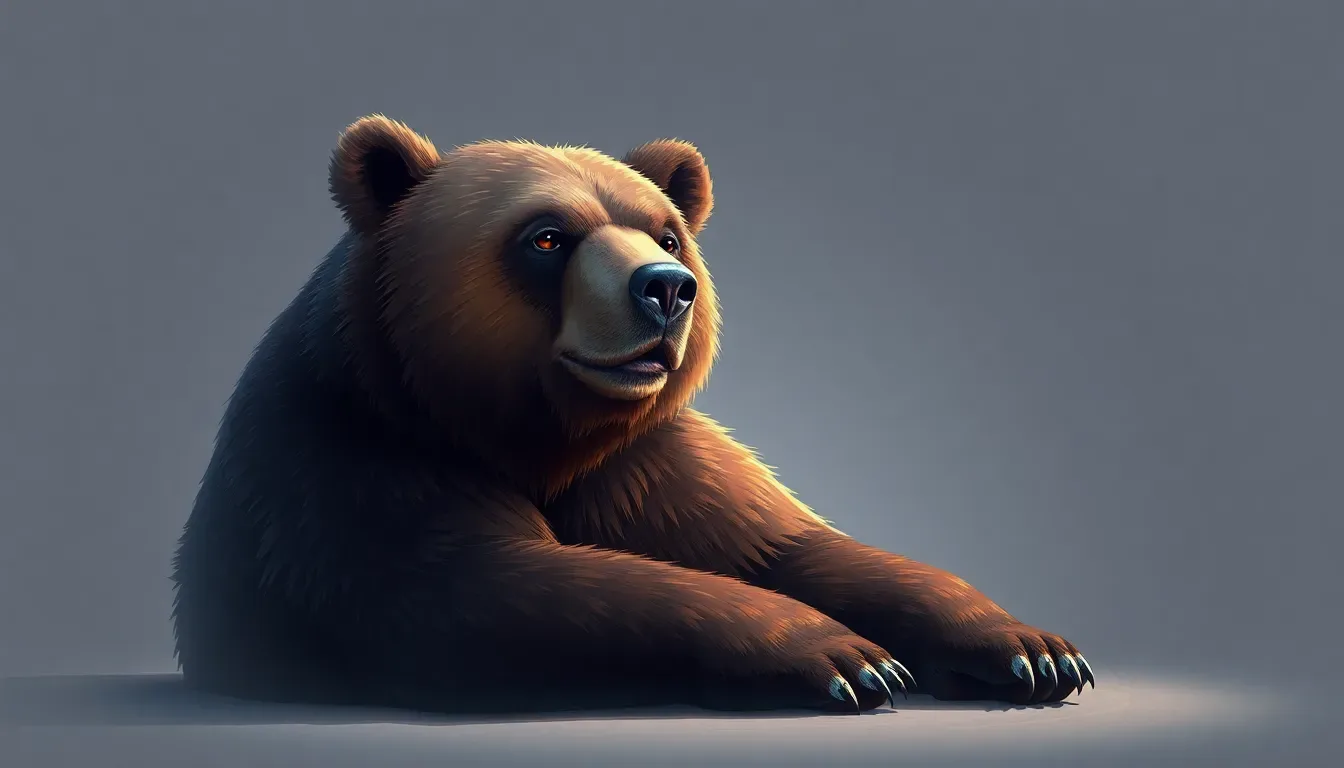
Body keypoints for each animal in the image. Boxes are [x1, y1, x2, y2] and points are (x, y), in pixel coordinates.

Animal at [169, 115, 1095, 715]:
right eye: (546, 236)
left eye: (669, 232)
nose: (665, 289)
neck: (537, 435)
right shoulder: (351, 472)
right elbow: (495, 589)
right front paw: (847, 657)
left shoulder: (651, 465)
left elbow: (786, 542)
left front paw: (1034, 648)